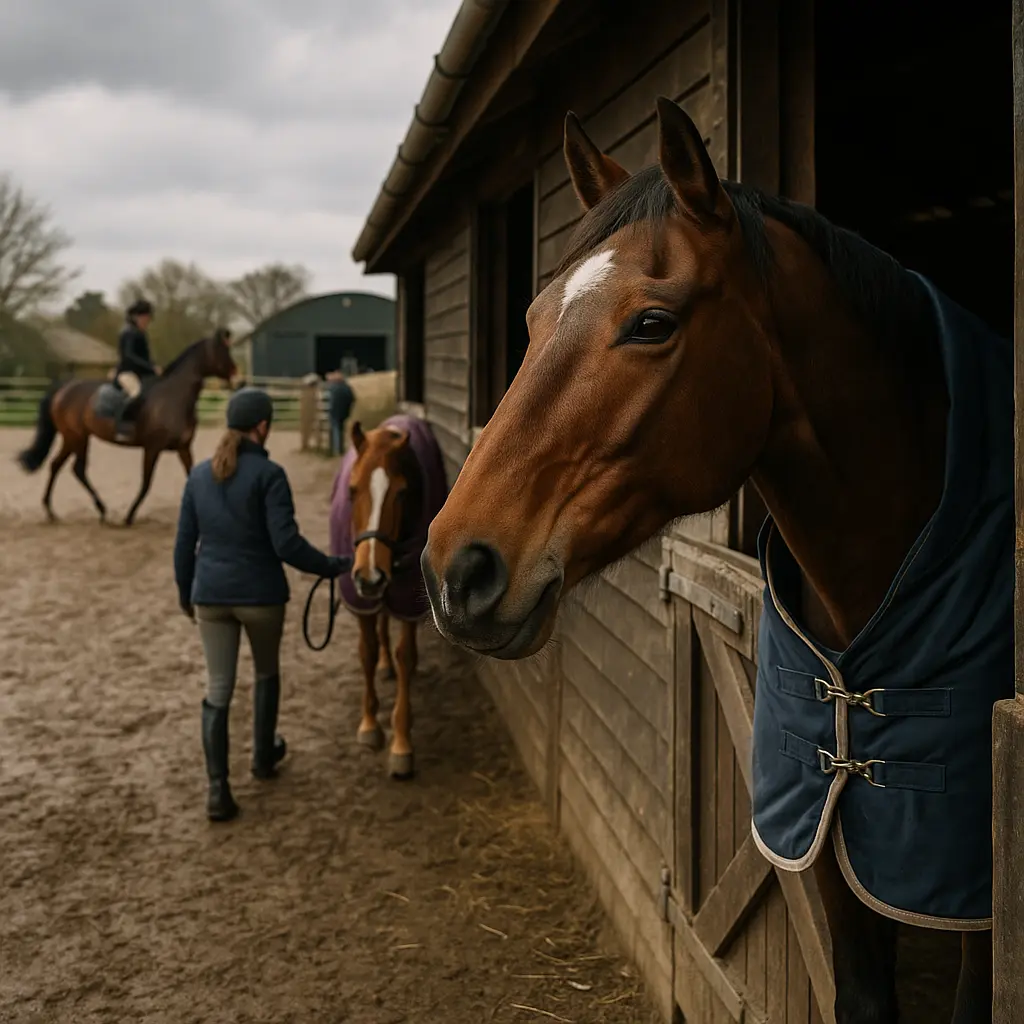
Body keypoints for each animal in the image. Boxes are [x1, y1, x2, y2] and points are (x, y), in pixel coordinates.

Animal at [16, 333, 237, 526]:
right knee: (77, 469)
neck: (175, 397)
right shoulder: (152, 448)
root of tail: (64, 388)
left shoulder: (183, 447)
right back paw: (101, 510)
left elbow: (189, 476)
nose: (239, 380)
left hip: (72, 438)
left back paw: (51, 512)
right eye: (222, 352)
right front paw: (129, 517)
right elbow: (146, 483)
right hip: (78, 438)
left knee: (56, 465)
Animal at [328, 415, 447, 779]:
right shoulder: (362, 601)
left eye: (402, 493)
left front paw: (401, 743)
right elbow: (366, 652)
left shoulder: (408, 598)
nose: (370, 575)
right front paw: (369, 725)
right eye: (352, 490)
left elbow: (404, 655)